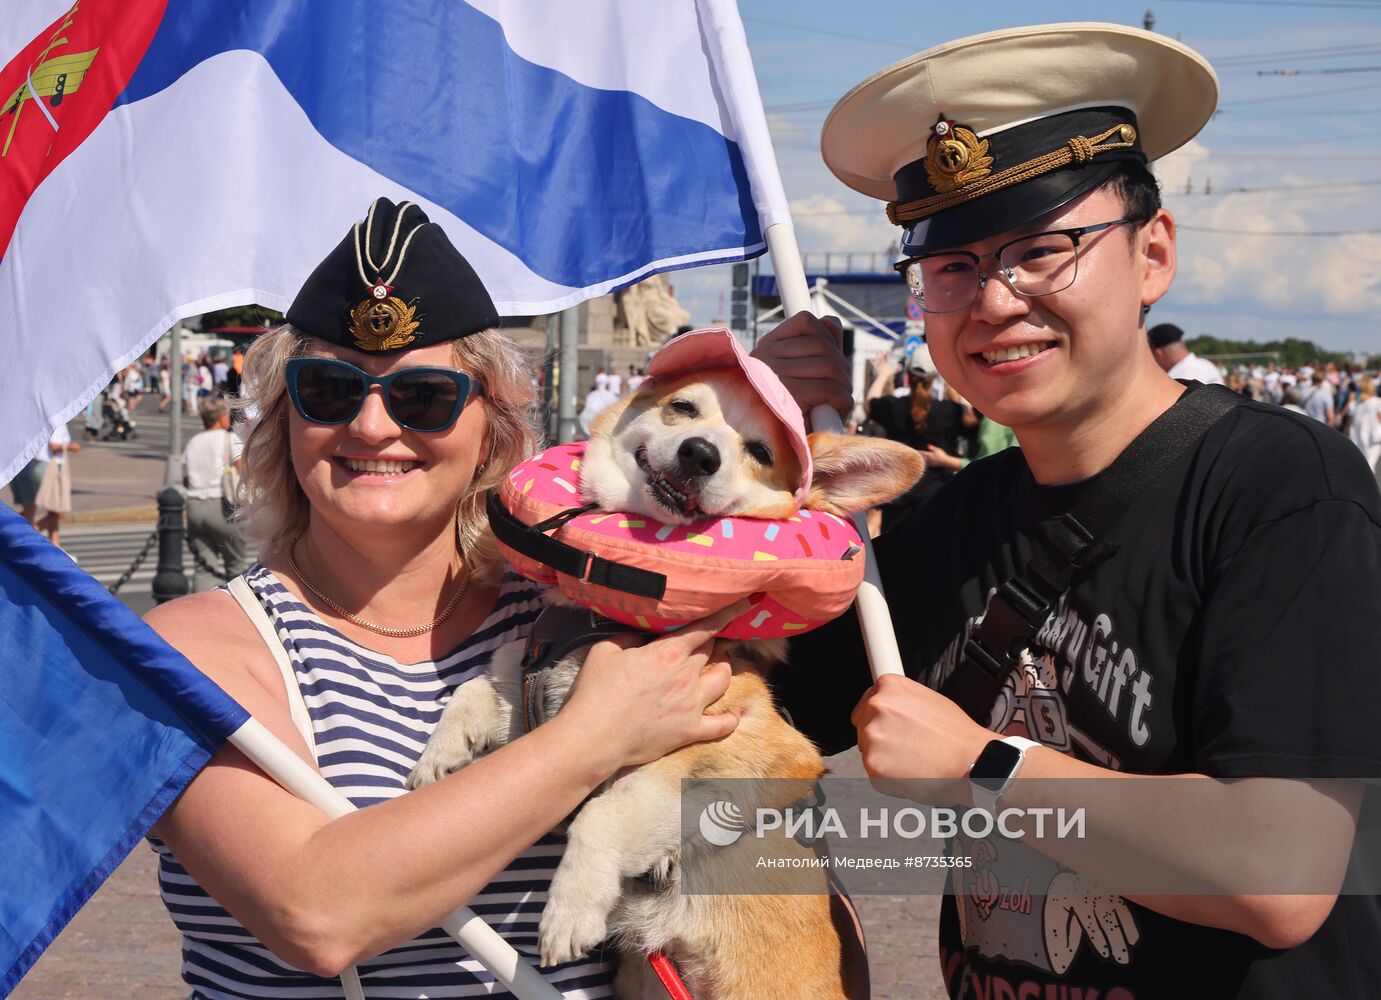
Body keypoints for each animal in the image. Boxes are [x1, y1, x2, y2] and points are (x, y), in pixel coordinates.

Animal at [408, 339, 928, 994]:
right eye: (684, 408)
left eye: (761, 452)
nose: (700, 453)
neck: (608, 622)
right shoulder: (545, 711)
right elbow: (476, 690)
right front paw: (438, 755)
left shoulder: (705, 757)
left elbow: (601, 813)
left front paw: (569, 911)